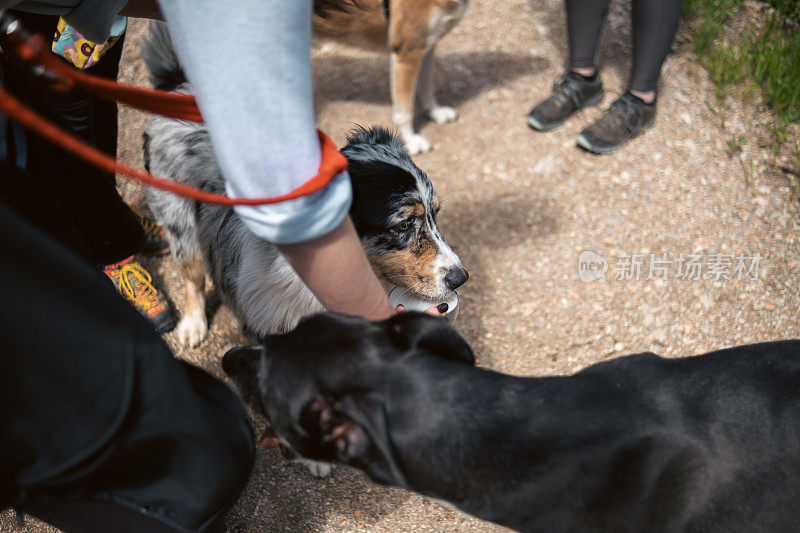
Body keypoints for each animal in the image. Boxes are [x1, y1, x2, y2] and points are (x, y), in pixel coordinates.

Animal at [314, 0, 468, 154]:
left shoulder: (426, 48)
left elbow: (427, 87)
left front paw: (436, 112)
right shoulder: (407, 55)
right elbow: (405, 111)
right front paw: (410, 141)